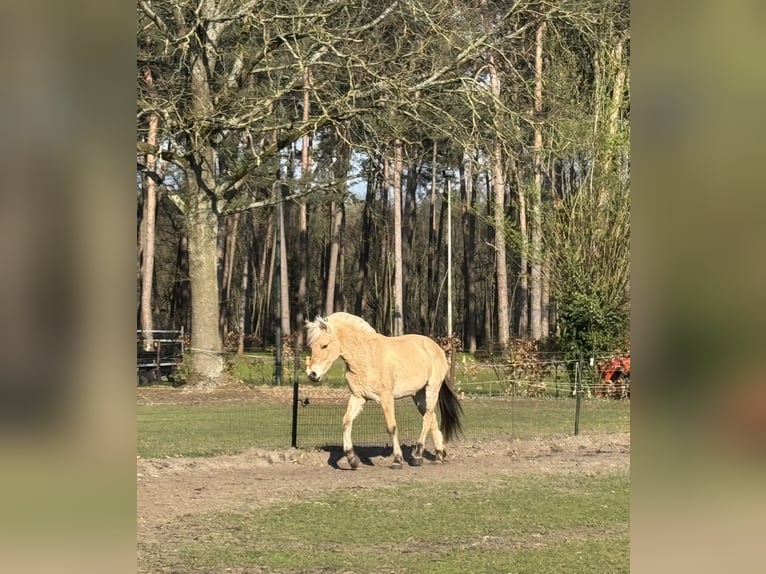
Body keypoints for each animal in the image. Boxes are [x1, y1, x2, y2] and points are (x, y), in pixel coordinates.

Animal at [305, 312, 463, 469]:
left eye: (324, 345)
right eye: (312, 346)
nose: (312, 374)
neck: (365, 357)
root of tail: (436, 347)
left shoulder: (386, 399)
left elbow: (391, 427)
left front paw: (397, 460)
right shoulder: (358, 397)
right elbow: (346, 422)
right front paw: (352, 459)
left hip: (432, 388)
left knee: (427, 418)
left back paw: (418, 456)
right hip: (418, 395)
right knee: (432, 418)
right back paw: (439, 455)